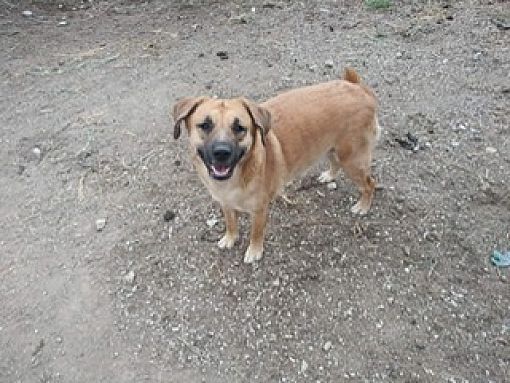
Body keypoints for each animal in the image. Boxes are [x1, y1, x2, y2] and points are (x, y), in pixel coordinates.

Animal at [171, 68, 378, 264]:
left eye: (239, 127)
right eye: (205, 125)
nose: (221, 153)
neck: (237, 176)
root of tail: (357, 87)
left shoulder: (259, 210)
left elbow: (256, 233)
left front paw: (254, 251)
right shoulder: (225, 203)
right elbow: (231, 223)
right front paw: (230, 238)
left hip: (352, 160)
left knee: (370, 184)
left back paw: (363, 206)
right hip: (331, 147)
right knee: (335, 162)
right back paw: (329, 175)